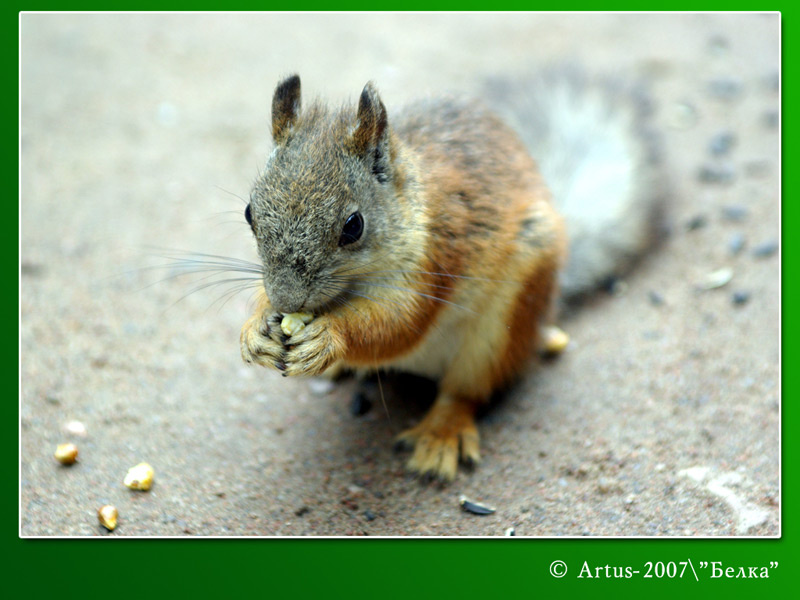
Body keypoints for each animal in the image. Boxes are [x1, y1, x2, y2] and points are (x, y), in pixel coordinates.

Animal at [239, 71, 663, 481]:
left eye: (353, 226)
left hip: (502, 327)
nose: (287, 300)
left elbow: (399, 325)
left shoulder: (436, 259)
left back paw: (441, 436)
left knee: (464, 392)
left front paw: (330, 337)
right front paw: (254, 331)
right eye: (249, 212)